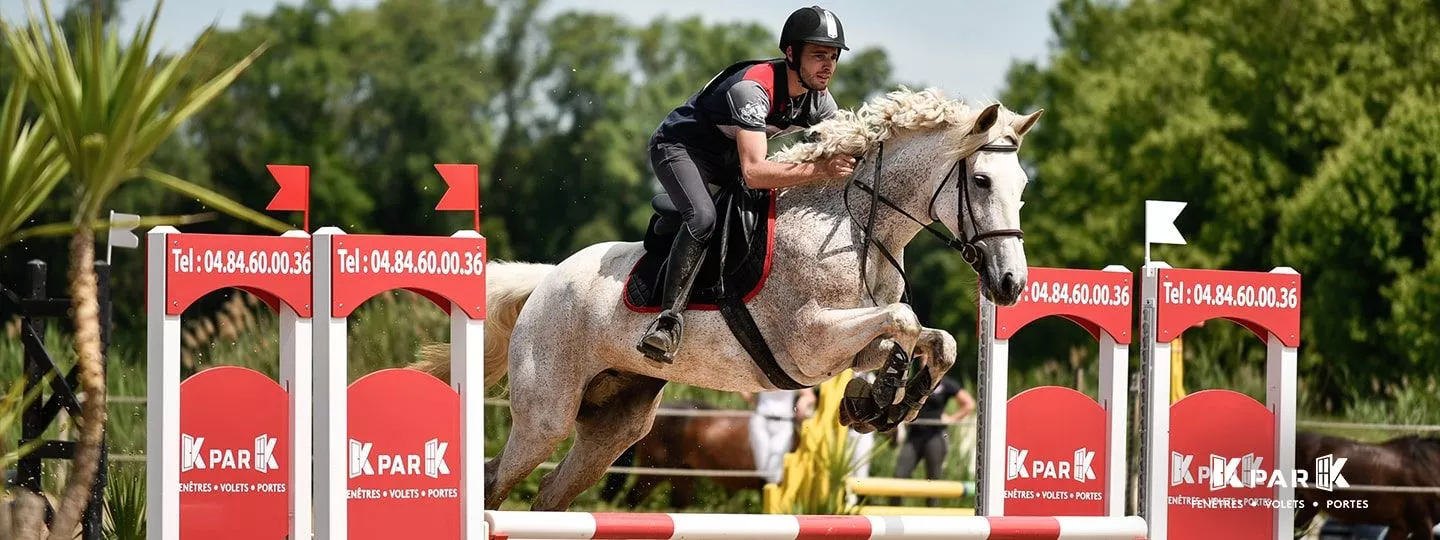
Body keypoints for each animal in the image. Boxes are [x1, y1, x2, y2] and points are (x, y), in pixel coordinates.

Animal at [411, 87, 1042, 512]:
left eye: (1023, 186)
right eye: (981, 181)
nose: (1010, 284)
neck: (851, 223)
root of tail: (545, 281)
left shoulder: (846, 342)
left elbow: (938, 339)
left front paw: (881, 400)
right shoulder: (808, 343)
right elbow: (904, 316)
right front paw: (883, 396)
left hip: (616, 425)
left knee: (548, 496)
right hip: (547, 414)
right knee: (496, 478)